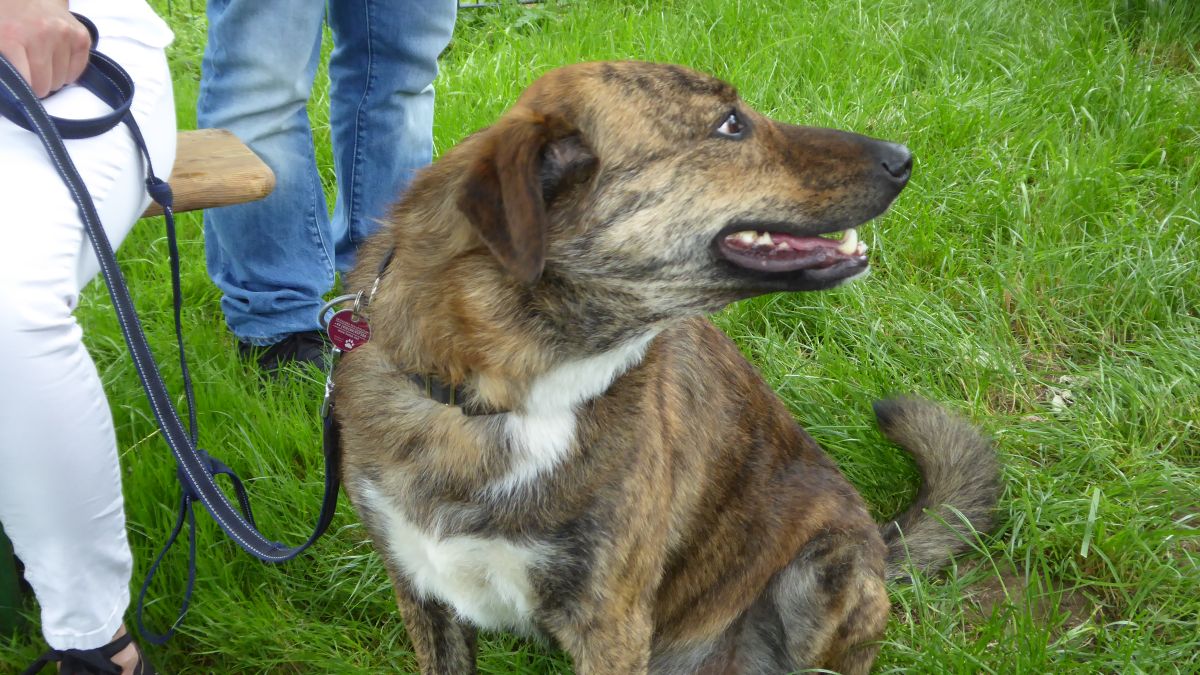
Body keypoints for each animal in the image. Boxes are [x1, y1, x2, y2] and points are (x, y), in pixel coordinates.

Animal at [332, 61, 1000, 674]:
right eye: (730, 123)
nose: (903, 159)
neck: (507, 400)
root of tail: (884, 549)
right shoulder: (421, 587)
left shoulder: (610, 622)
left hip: (822, 573)